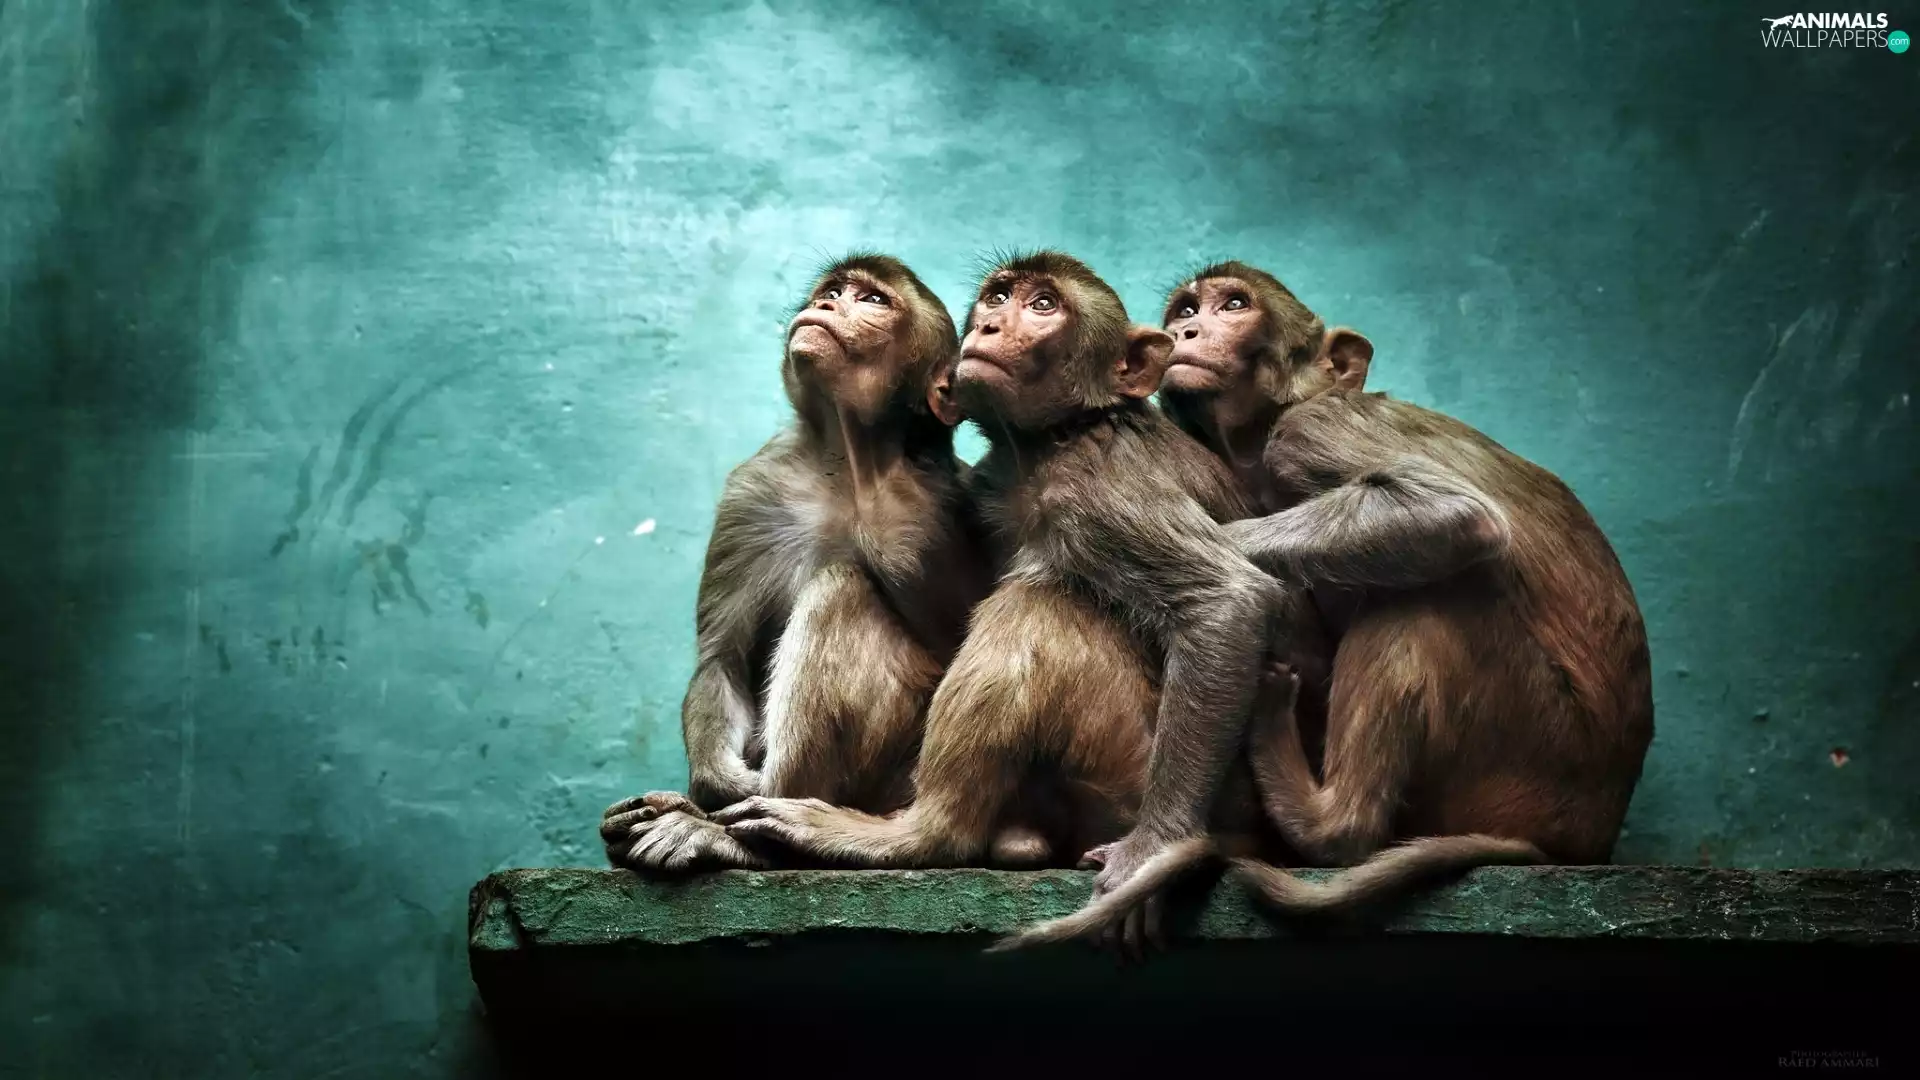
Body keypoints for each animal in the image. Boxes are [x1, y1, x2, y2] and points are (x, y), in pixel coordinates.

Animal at [599, 253, 997, 873]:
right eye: (833, 290)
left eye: (872, 300)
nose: (829, 304)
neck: (841, 465)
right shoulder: (753, 491)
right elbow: (724, 659)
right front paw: (718, 781)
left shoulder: (953, 495)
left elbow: (965, 638)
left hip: (892, 785)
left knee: (842, 587)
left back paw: (741, 839)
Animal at [715, 252, 1302, 946]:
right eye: (998, 298)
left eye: (1044, 305)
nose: (989, 327)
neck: (1055, 439)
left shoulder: (1100, 488)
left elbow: (1226, 600)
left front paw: (1153, 847)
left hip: (1123, 774)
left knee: (1035, 606)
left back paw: (924, 836)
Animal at [994, 260, 1654, 949]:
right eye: (1185, 311)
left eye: (1234, 306)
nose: (1188, 331)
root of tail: (1587, 837)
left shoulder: (1307, 434)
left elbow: (1452, 513)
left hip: (1528, 748)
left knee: (1430, 594)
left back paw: (1327, 818)